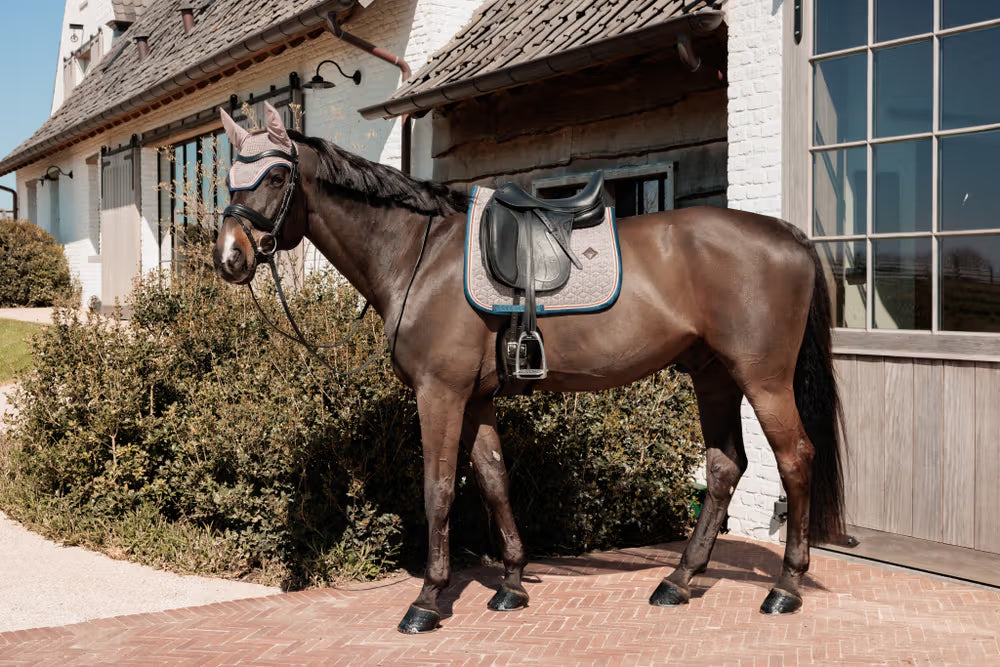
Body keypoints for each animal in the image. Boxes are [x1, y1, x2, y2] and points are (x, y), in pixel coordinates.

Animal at [213, 102, 844, 634]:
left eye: (275, 178)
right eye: (228, 181)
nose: (230, 259)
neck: (421, 255)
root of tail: (788, 234)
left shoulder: (439, 394)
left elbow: (438, 490)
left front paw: (427, 600)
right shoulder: (476, 398)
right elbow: (494, 481)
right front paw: (512, 584)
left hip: (763, 379)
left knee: (795, 459)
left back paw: (784, 589)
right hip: (713, 376)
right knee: (723, 466)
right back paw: (679, 580)